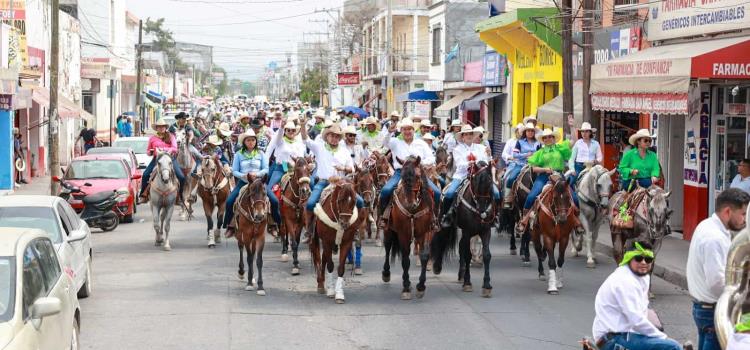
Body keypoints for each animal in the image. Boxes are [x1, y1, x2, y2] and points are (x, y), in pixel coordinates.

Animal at [382, 157, 434, 300]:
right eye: (403, 177)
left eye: (418, 176)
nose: (411, 203)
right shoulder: (403, 233)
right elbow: (405, 259)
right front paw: (406, 287)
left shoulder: (425, 231)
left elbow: (424, 255)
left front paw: (421, 286)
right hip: (388, 230)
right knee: (387, 247)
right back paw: (386, 273)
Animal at [432, 161, 496, 298]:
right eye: (475, 181)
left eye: (490, 182)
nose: (482, 209)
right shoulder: (467, 231)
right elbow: (468, 255)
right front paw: (467, 283)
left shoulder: (485, 231)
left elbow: (486, 255)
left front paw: (487, 285)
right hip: (446, 226)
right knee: (442, 240)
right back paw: (437, 267)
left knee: (461, 246)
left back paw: (460, 274)